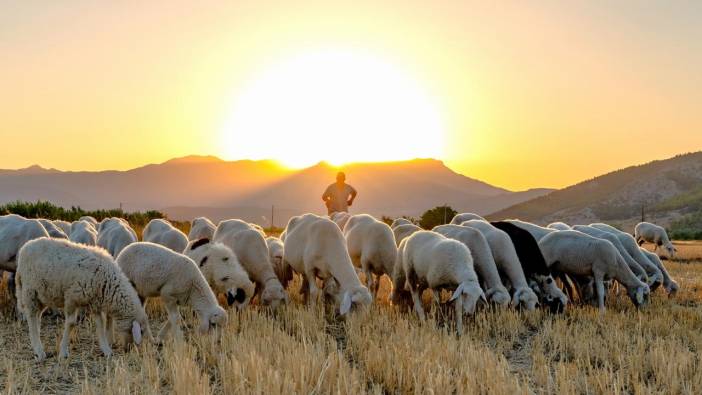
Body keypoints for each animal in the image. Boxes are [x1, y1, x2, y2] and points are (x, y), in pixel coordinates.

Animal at [15, 238, 150, 362]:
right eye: (141, 331)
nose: (129, 349)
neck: (107, 283)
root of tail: (24, 248)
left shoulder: (94, 302)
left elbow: (100, 324)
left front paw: (107, 350)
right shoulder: (71, 298)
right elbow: (71, 323)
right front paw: (63, 352)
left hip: (43, 295)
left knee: (37, 318)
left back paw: (36, 346)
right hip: (30, 291)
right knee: (31, 318)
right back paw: (39, 352)